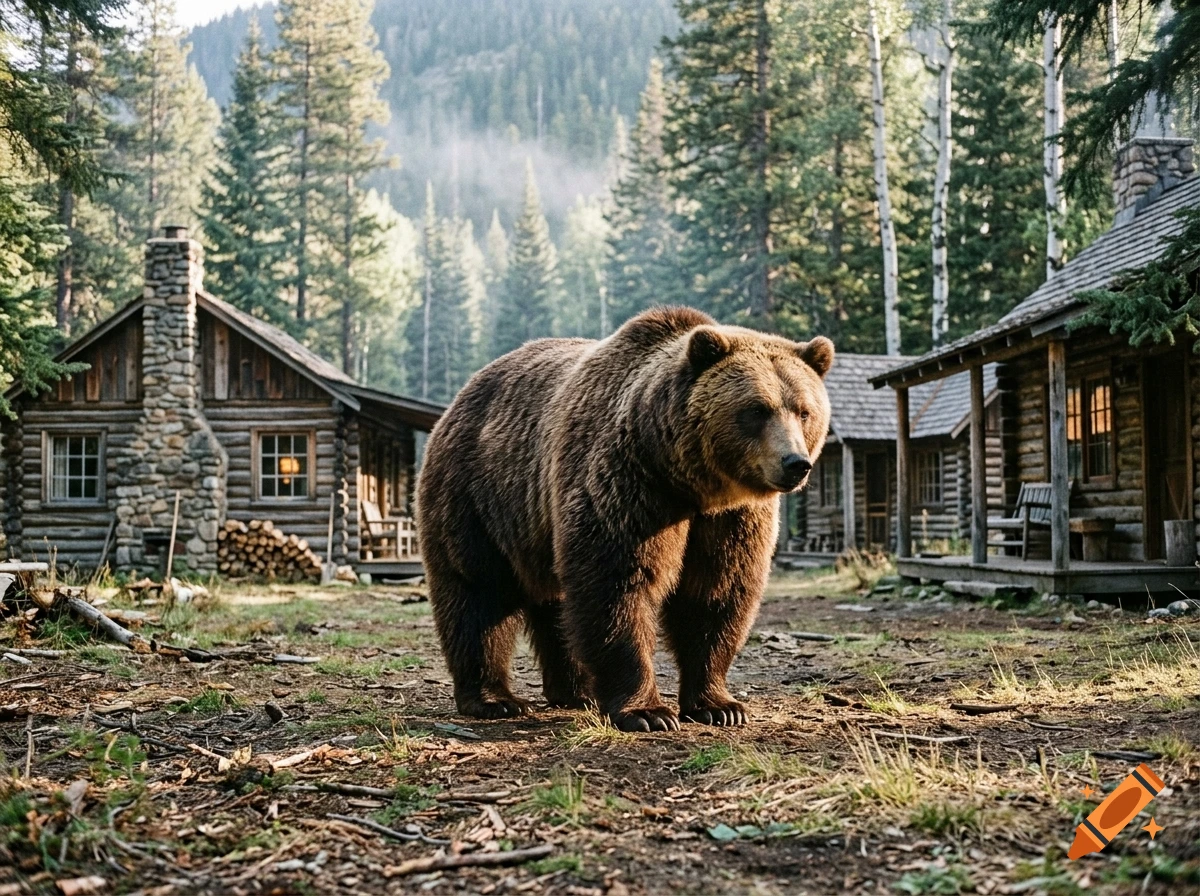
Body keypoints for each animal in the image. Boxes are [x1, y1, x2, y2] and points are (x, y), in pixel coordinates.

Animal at [416, 306, 834, 732]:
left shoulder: (732, 518)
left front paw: (719, 705)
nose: (795, 463)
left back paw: (577, 691)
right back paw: (495, 699)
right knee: (479, 593)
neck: (692, 484)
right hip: (480, 496)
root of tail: (460, 397)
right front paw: (648, 712)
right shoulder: (630, 484)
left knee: (555, 605)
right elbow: (619, 583)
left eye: (804, 411)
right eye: (756, 409)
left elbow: (716, 591)